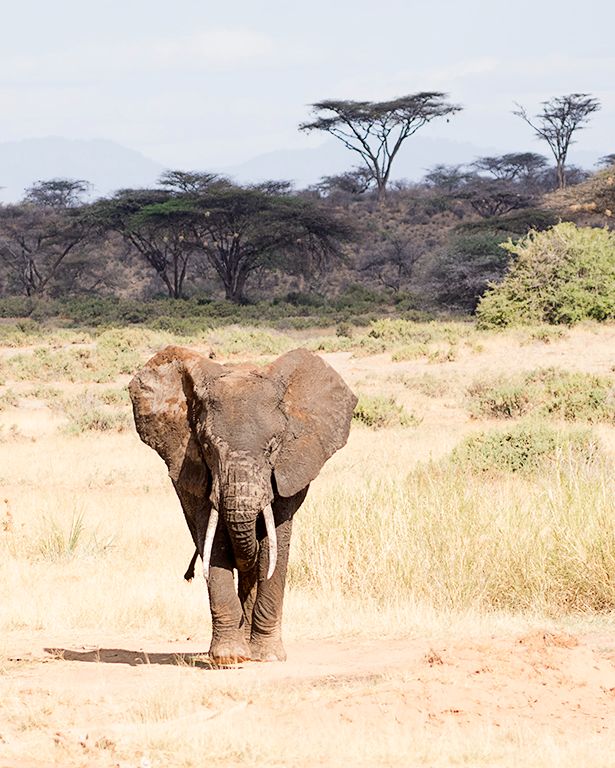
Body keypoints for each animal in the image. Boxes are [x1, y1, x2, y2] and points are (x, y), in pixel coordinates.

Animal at [128, 346, 357, 664]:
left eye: (273, 447)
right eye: (208, 447)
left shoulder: (286, 472)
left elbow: (275, 548)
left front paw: (268, 657)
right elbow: (214, 542)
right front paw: (229, 659)